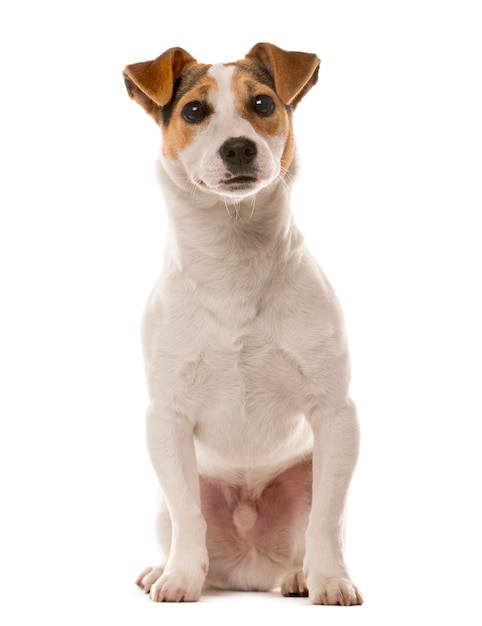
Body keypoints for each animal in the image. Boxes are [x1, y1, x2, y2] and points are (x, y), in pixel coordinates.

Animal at [123, 41, 362, 604]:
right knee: (178, 520)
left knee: (310, 531)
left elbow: (326, 520)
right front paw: (180, 578)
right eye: (193, 111)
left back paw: (298, 575)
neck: (233, 259)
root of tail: (250, 569)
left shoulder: (336, 414)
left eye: (262, 104)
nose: (238, 149)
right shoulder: (166, 420)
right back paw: (164, 569)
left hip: (305, 474)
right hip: (170, 496)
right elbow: (188, 516)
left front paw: (330, 581)